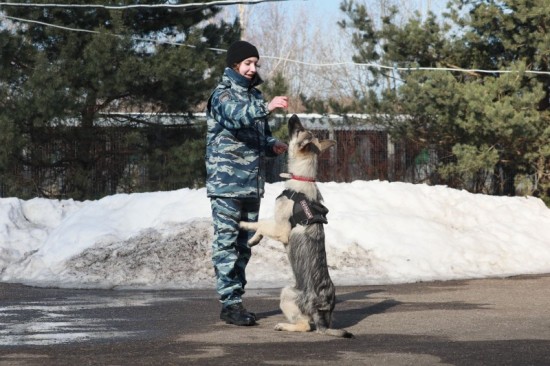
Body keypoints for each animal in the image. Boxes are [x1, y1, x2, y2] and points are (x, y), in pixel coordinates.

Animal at [240, 116, 354, 338]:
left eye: (299, 129)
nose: (292, 116)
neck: (302, 177)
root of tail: (320, 311)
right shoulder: (276, 225)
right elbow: (263, 225)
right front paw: (254, 239)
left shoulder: (282, 231)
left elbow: (261, 222)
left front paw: (243, 224)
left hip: (286, 293)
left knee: (305, 326)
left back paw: (284, 325)